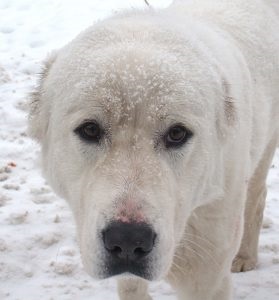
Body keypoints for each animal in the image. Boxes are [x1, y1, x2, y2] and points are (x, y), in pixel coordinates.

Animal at [29, 1, 279, 298]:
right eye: (90, 129)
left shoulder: (207, 273)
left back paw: (245, 256)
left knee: (257, 196)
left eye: (177, 134)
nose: (127, 239)